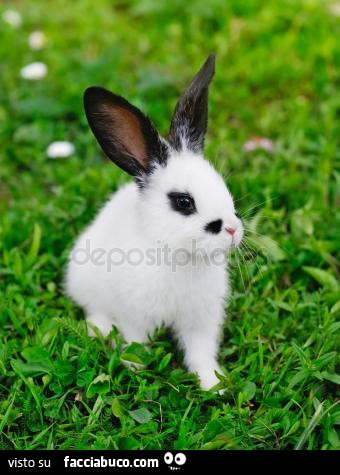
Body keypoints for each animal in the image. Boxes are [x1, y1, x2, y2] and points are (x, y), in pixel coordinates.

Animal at [65, 55, 243, 390]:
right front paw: (134, 368)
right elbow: (137, 342)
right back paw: (99, 329)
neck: (178, 255)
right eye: (183, 202)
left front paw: (213, 385)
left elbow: (200, 352)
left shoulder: (201, 320)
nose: (232, 230)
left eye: (223, 186)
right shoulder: (135, 315)